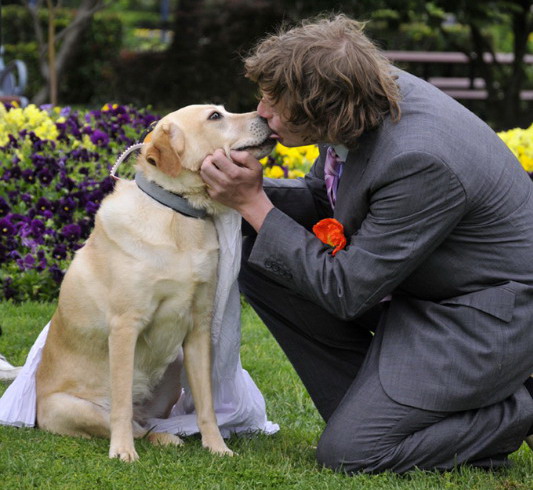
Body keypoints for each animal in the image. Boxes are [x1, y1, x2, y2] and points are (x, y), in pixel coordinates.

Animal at [34, 105, 274, 462]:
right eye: (215, 116)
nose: (267, 117)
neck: (179, 213)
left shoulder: (199, 327)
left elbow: (207, 405)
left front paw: (217, 447)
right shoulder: (124, 327)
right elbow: (121, 405)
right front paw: (122, 452)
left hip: (174, 369)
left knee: (147, 424)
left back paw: (167, 437)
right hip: (69, 407)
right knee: (129, 421)